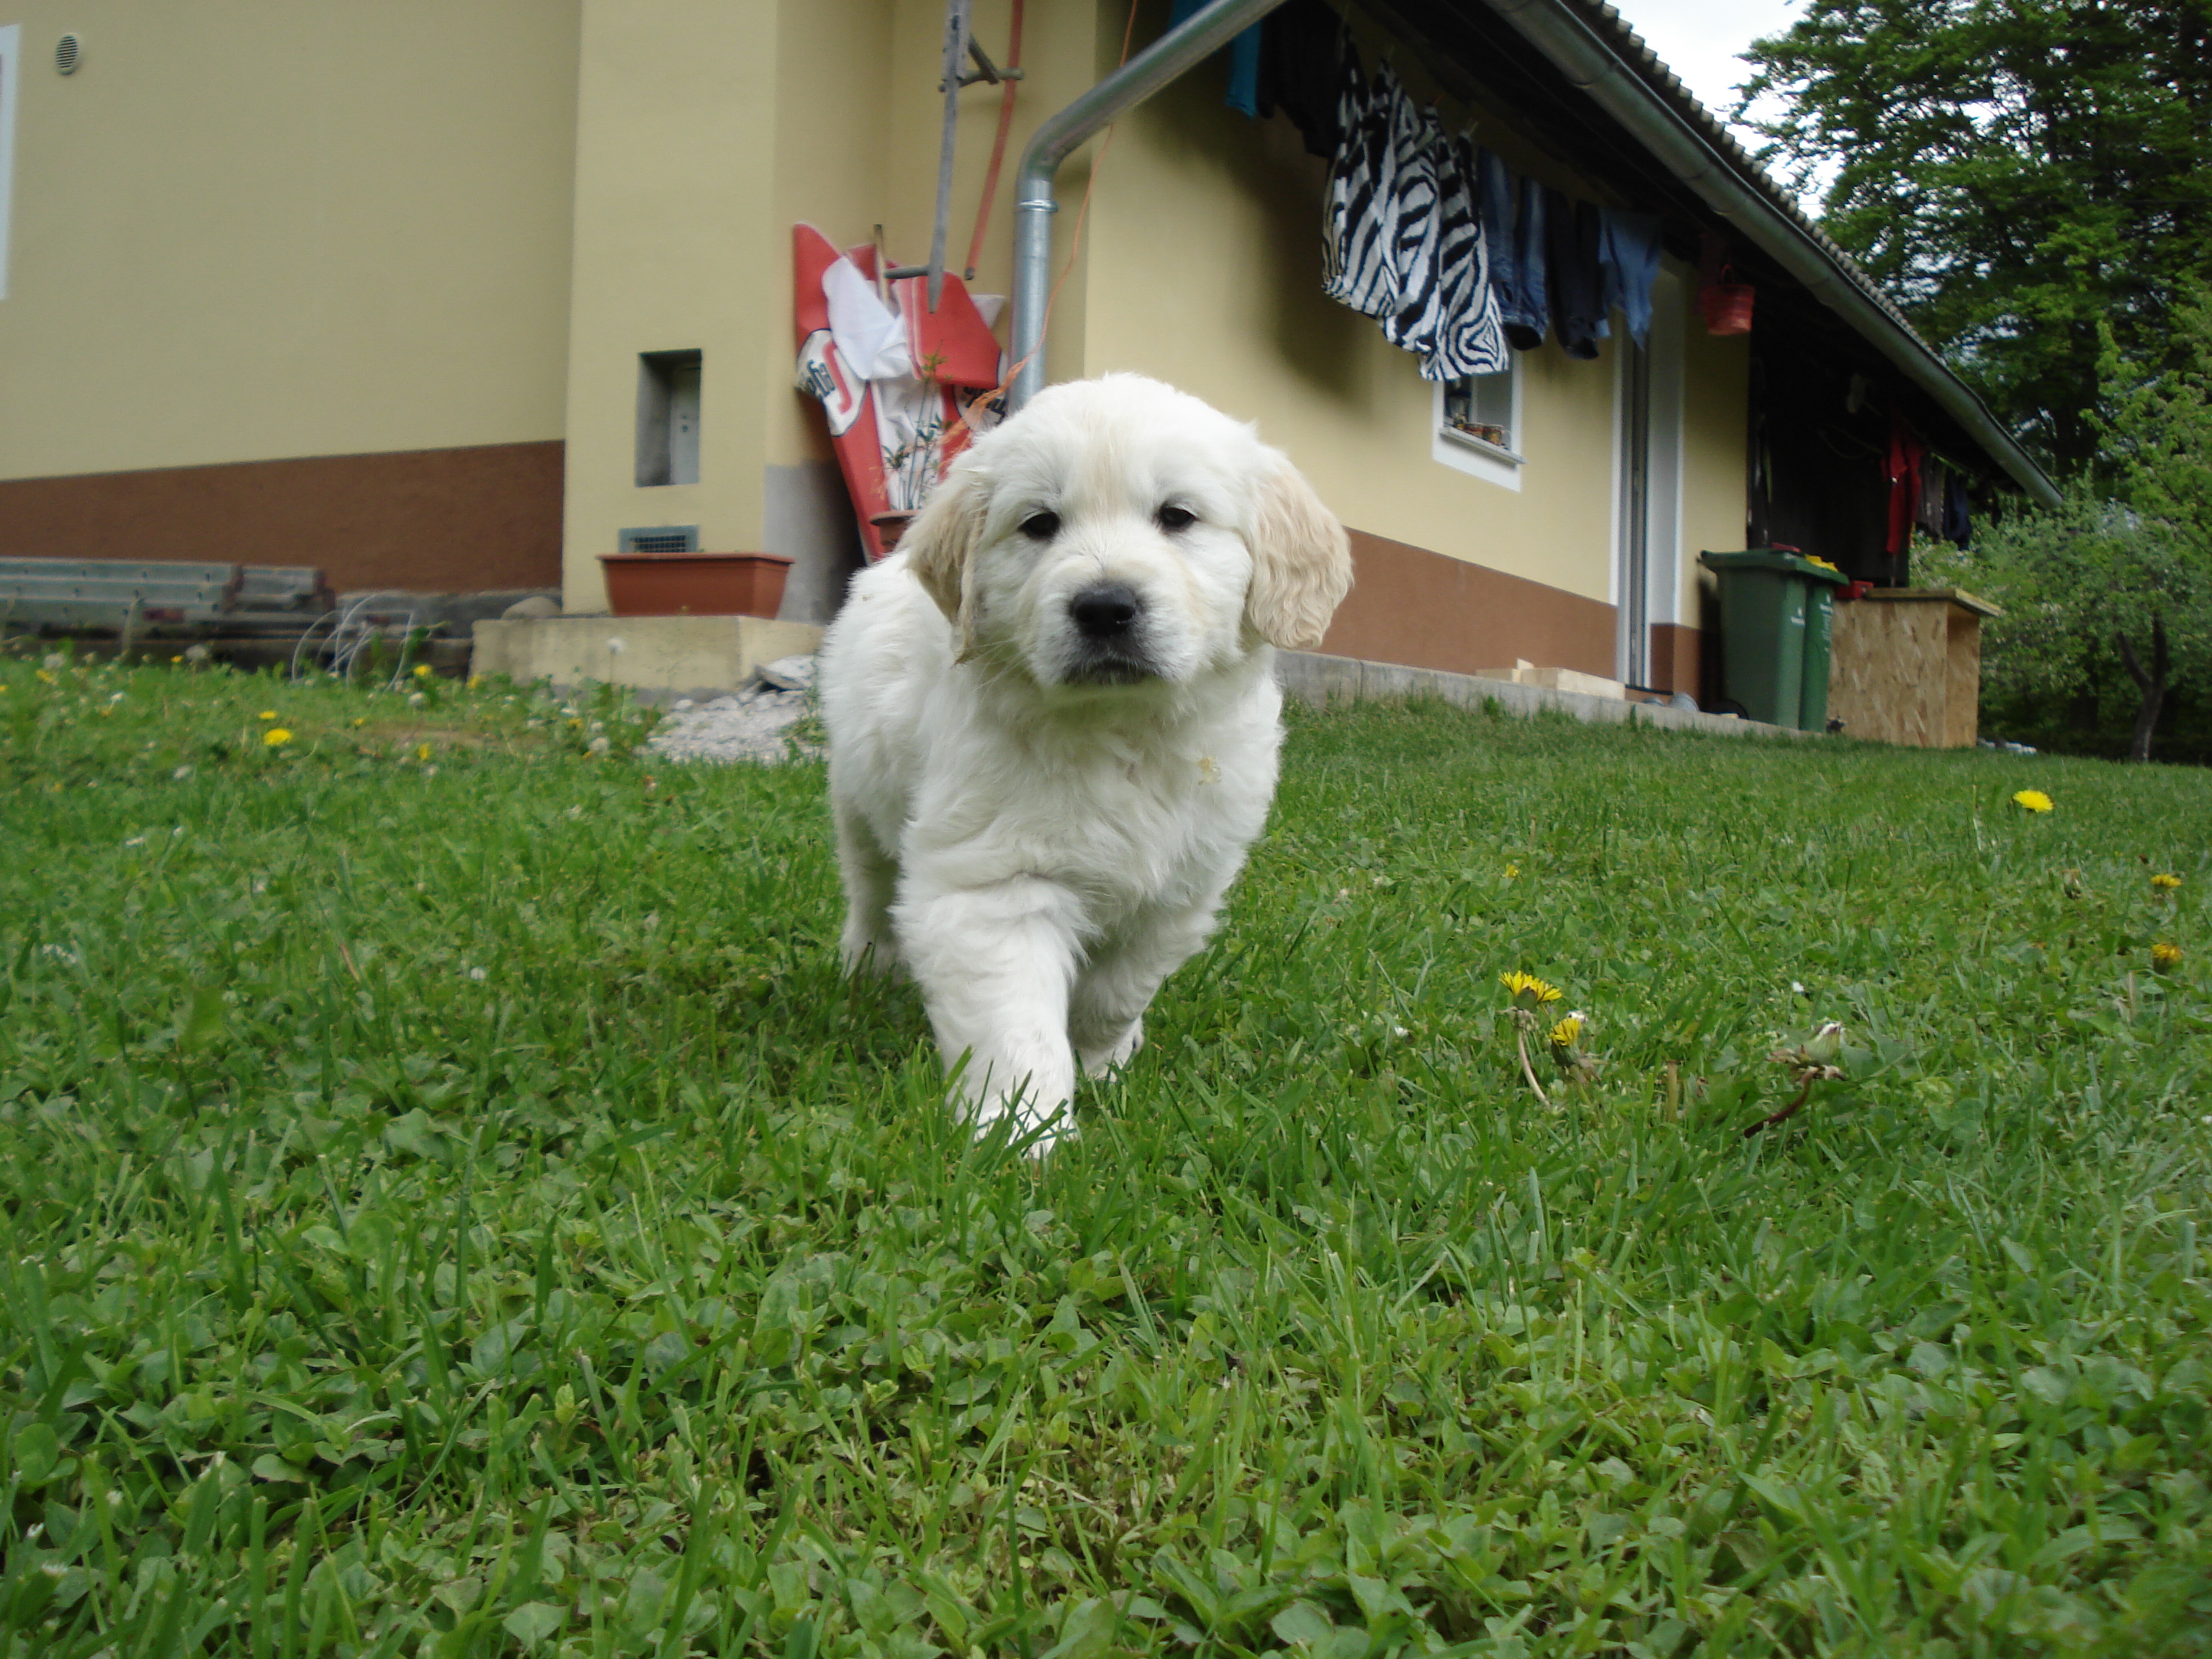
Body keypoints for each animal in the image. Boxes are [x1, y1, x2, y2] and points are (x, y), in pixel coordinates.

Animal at [816, 374, 1353, 1148]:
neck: (1122, 732)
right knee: (870, 890)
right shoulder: (993, 885)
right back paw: (868, 970)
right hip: (861, 799)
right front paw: (1021, 1135)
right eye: (1040, 524)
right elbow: (1015, 1028)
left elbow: (1117, 990)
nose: (1104, 607)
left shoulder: (1180, 887)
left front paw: (1105, 1064)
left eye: (1177, 516)